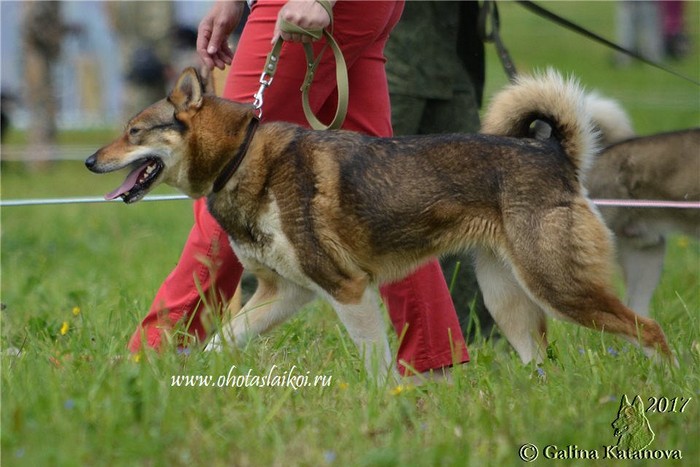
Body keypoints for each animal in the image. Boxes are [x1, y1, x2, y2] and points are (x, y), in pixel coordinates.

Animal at [86, 68, 673, 379]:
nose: (90, 160)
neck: (243, 157)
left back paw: (667, 385)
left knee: (650, 329)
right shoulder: (287, 293)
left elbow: (376, 364)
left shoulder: (348, 289)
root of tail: (554, 153)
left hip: (559, 287)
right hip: (507, 297)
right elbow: (221, 341)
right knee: (539, 359)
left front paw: (387, 403)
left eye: (134, 131)